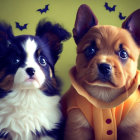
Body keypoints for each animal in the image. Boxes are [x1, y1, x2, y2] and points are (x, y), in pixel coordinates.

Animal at [61, 4, 140, 140]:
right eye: (90, 50)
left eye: (123, 54)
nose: (104, 66)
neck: (104, 92)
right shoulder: (78, 127)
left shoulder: (132, 128)